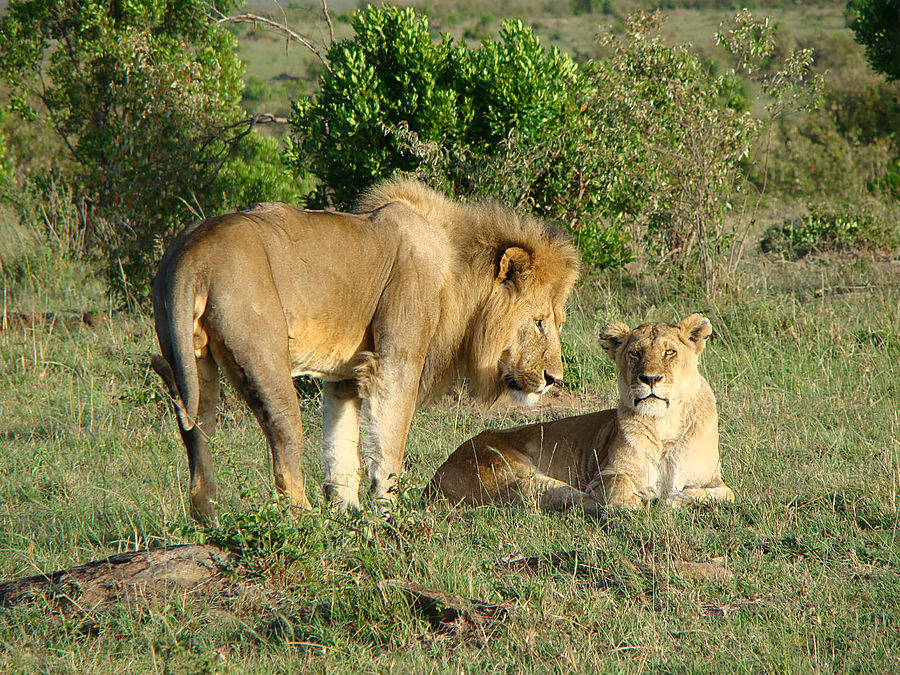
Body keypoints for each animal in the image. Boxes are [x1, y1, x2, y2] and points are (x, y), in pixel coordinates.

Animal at [151, 178, 580, 524]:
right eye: (540, 322)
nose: (553, 379)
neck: (456, 270)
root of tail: (194, 253)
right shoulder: (396, 361)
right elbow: (389, 441)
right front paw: (385, 512)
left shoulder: (345, 374)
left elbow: (340, 443)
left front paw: (348, 510)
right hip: (262, 360)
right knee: (284, 443)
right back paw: (306, 522)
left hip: (191, 362)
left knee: (196, 434)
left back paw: (209, 518)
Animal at [428, 314, 732, 510]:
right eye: (634, 353)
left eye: (670, 352)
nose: (650, 379)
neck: (664, 425)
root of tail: (435, 478)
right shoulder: (606, 473)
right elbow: (619, 487)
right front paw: (632, 502)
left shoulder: (713, 480)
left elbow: (719, 494)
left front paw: (671, 499)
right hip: (517, 474)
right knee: (567, 499)